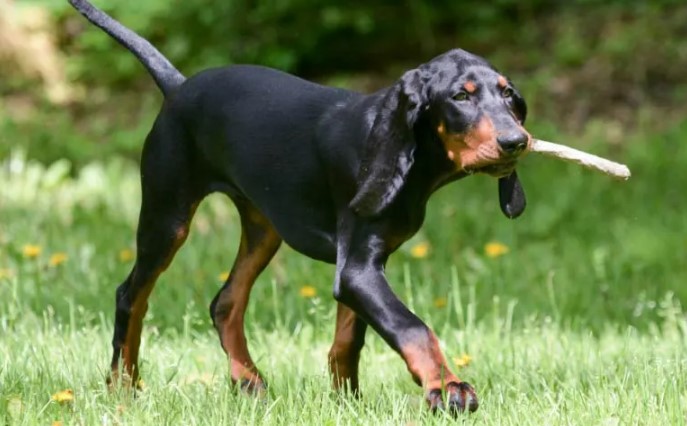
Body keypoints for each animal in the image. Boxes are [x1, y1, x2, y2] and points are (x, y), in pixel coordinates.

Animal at [70, 0, 532, 414]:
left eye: (509, 95)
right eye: (460, 97)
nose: (516, 142)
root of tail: (178, 85)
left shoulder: (362, 266)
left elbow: (349, 338)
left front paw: (348, 404)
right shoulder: (358, 269)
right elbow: (412, 327)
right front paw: (447, 387)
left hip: (263, 228)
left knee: (225, 302)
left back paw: (248, 381)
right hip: (167, 217)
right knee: (131, 296)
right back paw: (123, 389)